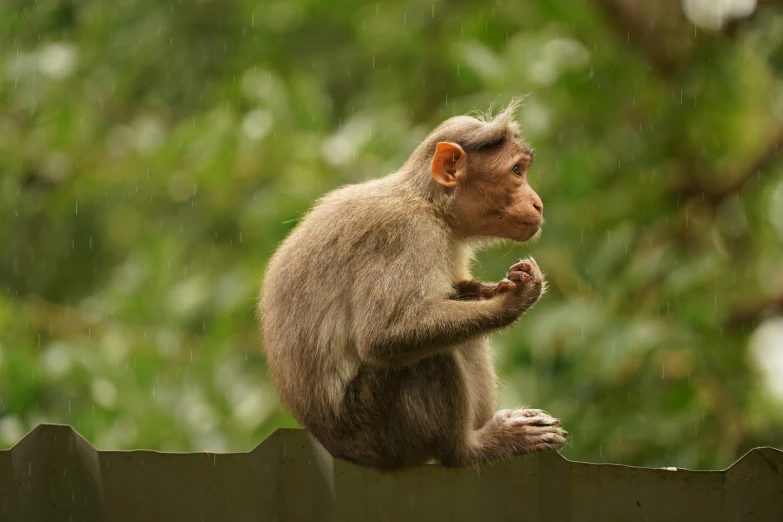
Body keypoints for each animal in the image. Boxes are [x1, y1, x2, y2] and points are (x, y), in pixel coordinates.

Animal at [260, 99, 568, 470]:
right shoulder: (405, 234)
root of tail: (334, 446)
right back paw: (469, 449)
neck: (431, 205)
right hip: (380, 432)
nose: (537, 202)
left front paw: (487, 290)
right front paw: (509, 303)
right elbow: (383, 336)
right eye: (516, 171)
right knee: (427, 357)